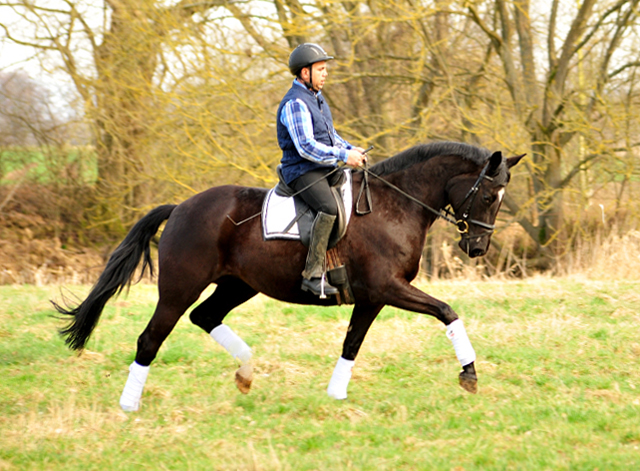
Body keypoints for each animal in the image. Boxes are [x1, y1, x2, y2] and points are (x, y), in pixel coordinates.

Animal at [55, 140, 524, 410]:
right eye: (488, 196)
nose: (477, 248)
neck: (396, 205)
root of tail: (182, 207)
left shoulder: (373, 297)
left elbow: (352, 343)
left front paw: (336, 395)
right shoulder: (389, 288)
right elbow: (447, 311)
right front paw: (469, 374)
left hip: (238, 286)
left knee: (205, 317)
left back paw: (246, 373)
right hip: (179, 288)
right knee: (150, 339)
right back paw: (129, 405)